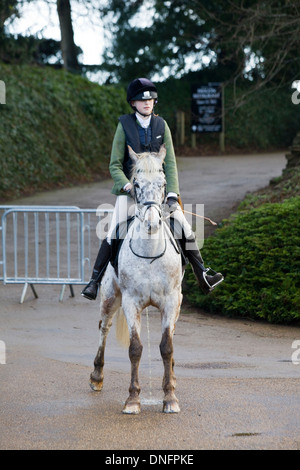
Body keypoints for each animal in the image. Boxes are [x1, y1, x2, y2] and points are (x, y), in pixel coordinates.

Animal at [89, 145, 183, 414]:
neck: (150, 251)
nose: (152, 223)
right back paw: (96, 376)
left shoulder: (171, 302)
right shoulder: (131, 302)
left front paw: (169, 397)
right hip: (110, 297)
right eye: (137, 184)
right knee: (104, 327)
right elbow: (136, 349)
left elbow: (166, 347)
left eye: (163, 183)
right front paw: (132, 399)